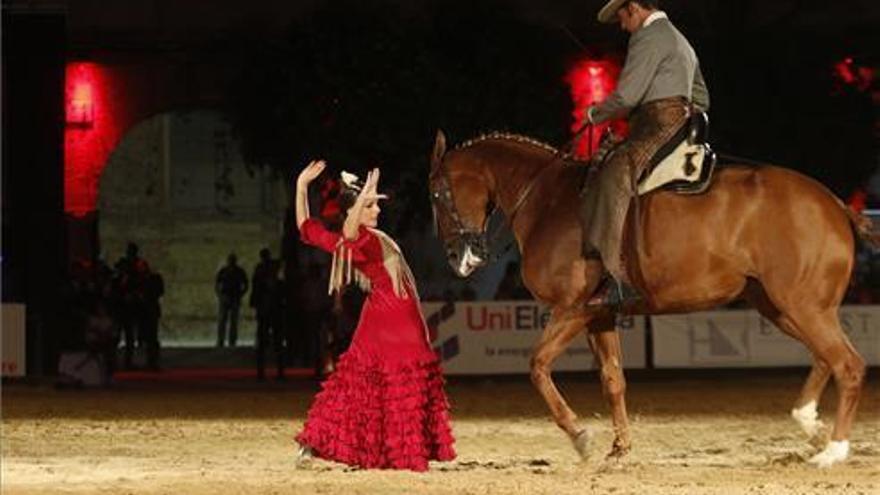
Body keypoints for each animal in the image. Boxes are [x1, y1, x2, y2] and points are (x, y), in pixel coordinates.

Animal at [428, 130, 872, 466]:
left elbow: (538, 366)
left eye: (436, 195)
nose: (456, 258)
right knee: (824, 358)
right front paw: (619, 448)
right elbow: (613, 380)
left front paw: (580, 435)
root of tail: (834, 203)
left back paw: (834, 450)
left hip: (802, 306)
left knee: (847, 364)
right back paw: (811, 424)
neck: (548, 200)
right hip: (782, 306)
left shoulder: (570, 309)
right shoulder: (599, 315)